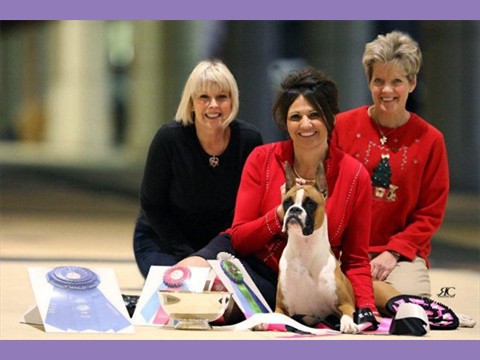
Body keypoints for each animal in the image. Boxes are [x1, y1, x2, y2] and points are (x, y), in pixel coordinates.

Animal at [276, 162, 358, 334]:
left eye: (310, 204)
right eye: (287, 202)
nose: (294, 210)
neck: (304, 247)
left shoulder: (345, 303)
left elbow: (347, 313)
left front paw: (348, 324)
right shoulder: (281, 308)